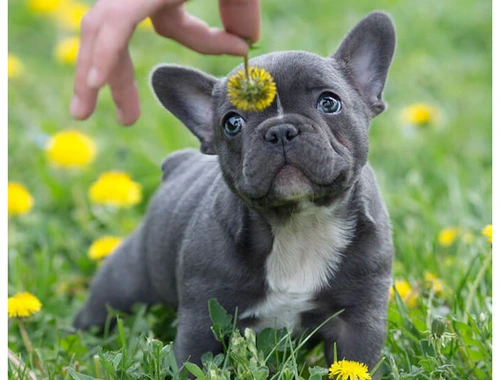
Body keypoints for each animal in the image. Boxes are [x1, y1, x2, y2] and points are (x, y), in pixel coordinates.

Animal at [73, 11, 394, 372]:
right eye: (232, 123)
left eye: (329, 102)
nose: (280, 130)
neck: (298, 223)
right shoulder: (204, 320)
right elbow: (193, 362)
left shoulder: (358, 320)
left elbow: (357, 362)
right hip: (123, 283)